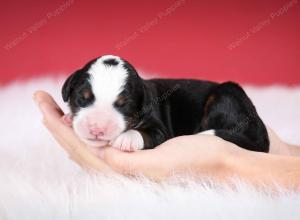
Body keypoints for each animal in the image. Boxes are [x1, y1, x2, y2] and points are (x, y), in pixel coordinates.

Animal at [61, 54, 270, 153]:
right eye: (82, 98)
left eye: (123, 105)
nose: (97, 129)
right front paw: (68, 117)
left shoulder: (160, 128)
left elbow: (146, 133)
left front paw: (126, 138)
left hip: (226, 96)